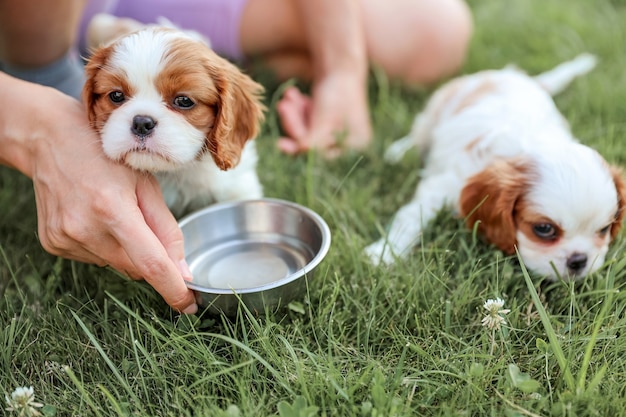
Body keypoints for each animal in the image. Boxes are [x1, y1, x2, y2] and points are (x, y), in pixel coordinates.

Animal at [364, 52, 620, 280]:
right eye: (544, 229)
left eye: (604, 230)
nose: (579, 261)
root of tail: (511, 75)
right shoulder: (446, 185)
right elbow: (410, 218)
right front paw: (385, 253)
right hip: (435, 112)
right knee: (418, 135)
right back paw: (398, 151)